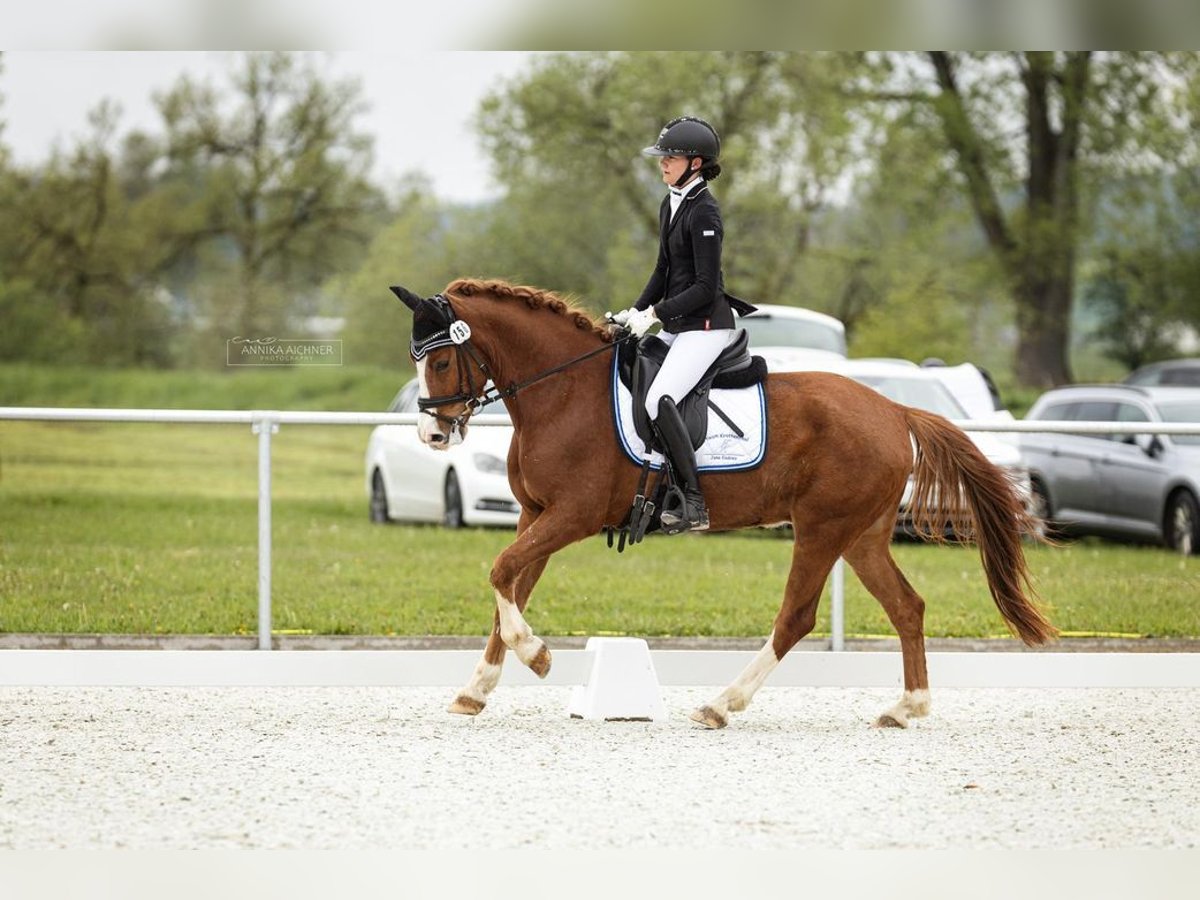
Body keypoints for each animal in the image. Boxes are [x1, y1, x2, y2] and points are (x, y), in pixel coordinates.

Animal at [388, 278, 1056, 729]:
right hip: (861, 534)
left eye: (441, 358)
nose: (433, 435)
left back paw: (721, 704)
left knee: (797, 618)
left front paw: (540, 656)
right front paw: (477, 688)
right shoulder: (535, 514)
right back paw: (906, 707)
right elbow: (510, 589)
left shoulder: (571, 515)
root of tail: (894, 409)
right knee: (907, 607)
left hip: (821, 527)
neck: (561, 392)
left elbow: (500, 572)